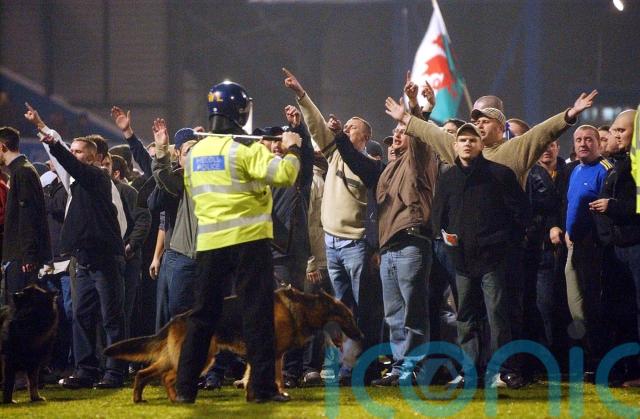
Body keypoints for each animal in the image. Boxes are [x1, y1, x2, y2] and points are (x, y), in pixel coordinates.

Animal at [104, 287, 363, 403]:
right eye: (349, 317)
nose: (362, 335)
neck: (303, 307)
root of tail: (177, 318)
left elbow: (254, 375)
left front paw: (254, 392)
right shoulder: (274, 354)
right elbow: (277, 377)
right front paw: (278, 394)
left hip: (176, 357)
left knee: (145, 374)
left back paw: (142, 398)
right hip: (200, 357)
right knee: (166, 376)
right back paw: (177, 397)